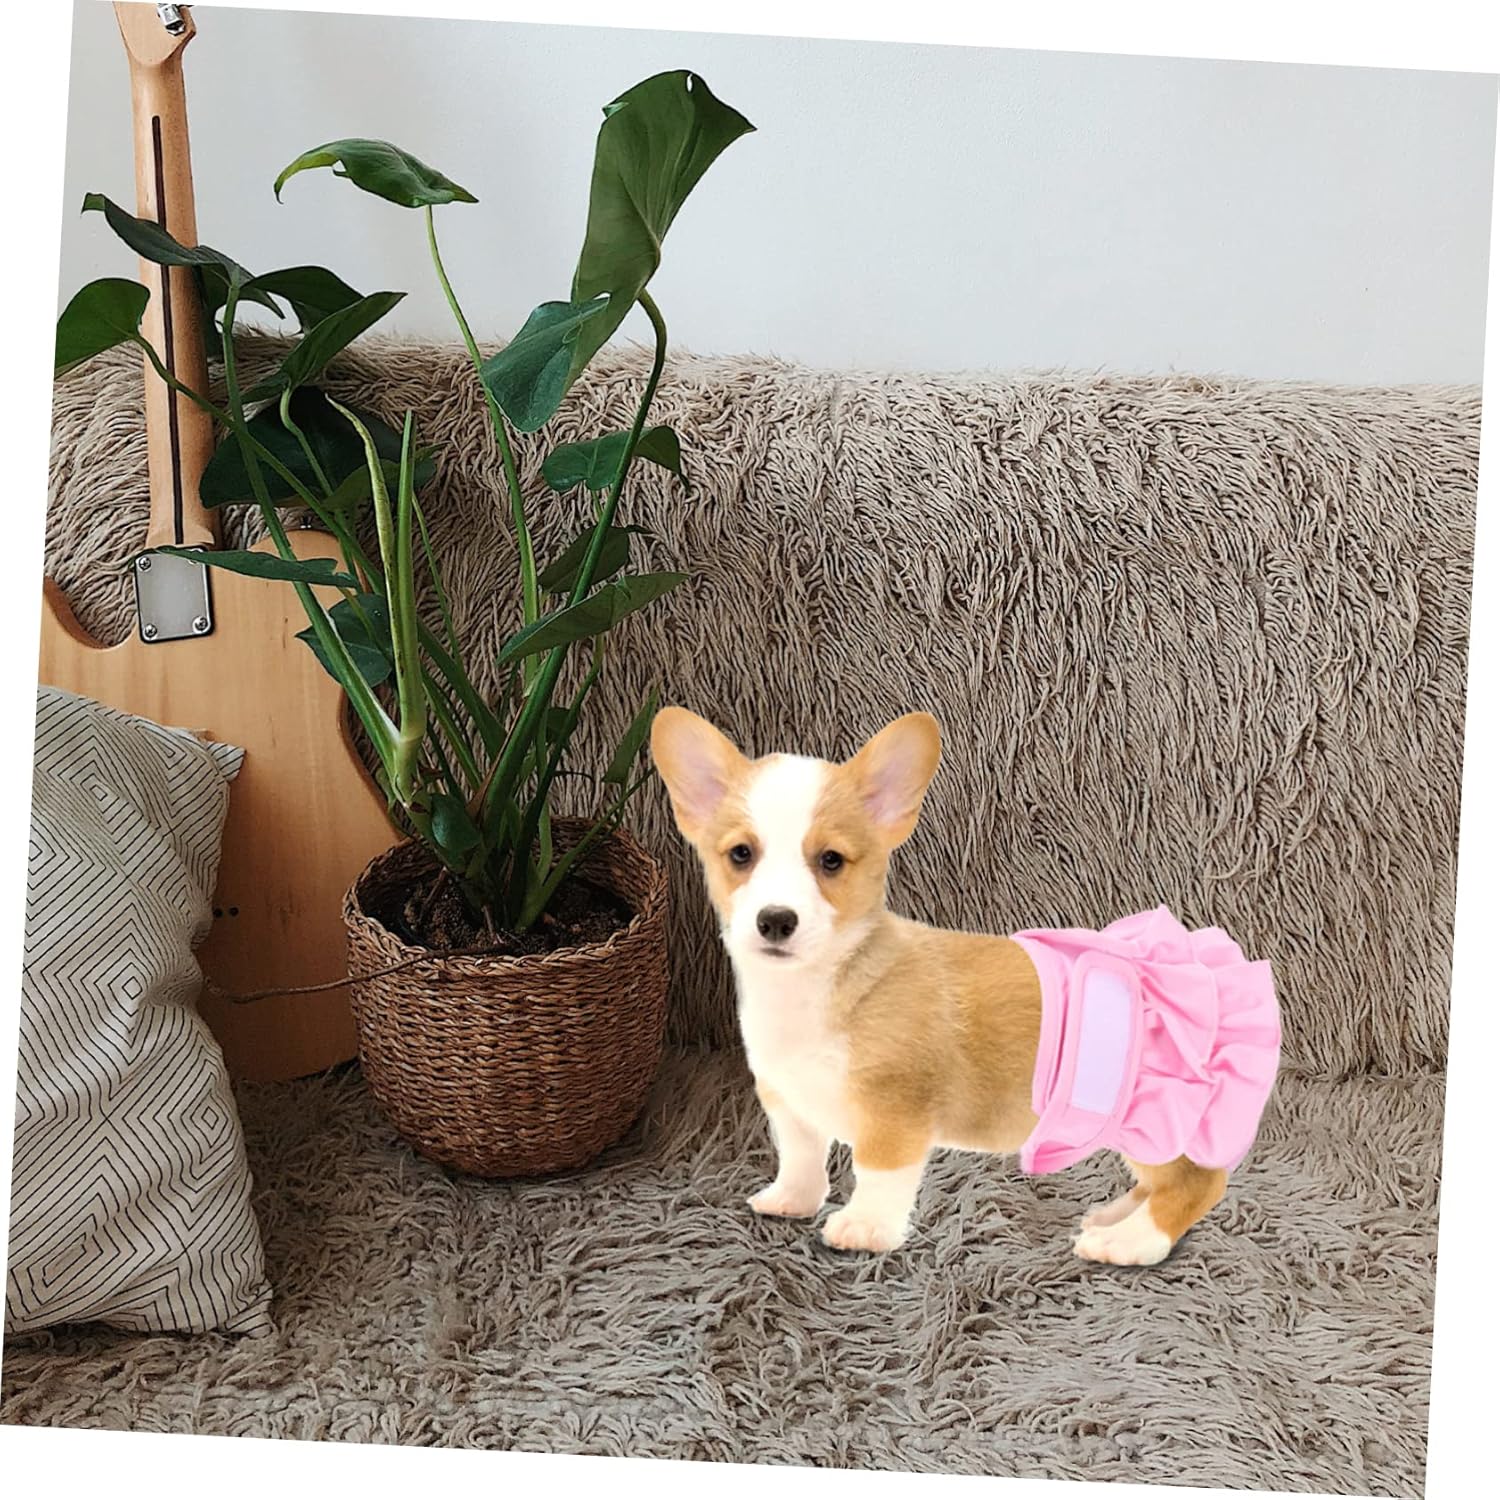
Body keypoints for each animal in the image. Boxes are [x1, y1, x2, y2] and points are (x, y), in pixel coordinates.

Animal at [650, 706, 1281, 1262]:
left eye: (830, 861)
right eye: (740, 854)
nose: (776, 920)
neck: (814, 987)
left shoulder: (892, 1113)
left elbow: (878, 1175)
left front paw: (863, 1228)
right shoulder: (788, 1102)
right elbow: (801, 1159)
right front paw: (790, 1201)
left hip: (1154, 1119)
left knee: (1196, 1184)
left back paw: (1128, 1242)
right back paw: (1114, 1214)